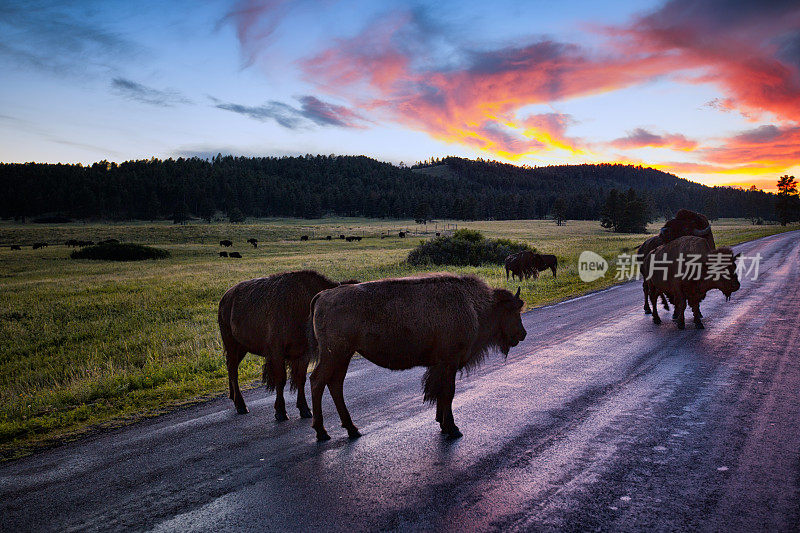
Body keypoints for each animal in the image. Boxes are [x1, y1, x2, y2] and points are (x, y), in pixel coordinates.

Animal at [217, 270, 358, 420]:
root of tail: (225, 298)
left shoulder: (303, 354)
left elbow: (300, 379)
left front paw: (305, 410)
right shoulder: (277, 352)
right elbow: (281, 379)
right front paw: (280, 412)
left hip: (241, 348)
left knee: (231, 367)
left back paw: (232, 397)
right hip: (232, 345)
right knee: (233, 370)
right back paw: (241, 406)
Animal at [310, 272, 528, 438]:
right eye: (513, 310)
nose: (522, 334)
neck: (474, 306)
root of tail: (323, 295)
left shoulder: (440, 365)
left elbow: (440, 393)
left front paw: (442, 423)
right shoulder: (449, 362)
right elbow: (448, 393)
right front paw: (453, 429)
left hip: (344, 356)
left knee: (335, 384)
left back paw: (352, 429)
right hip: (335, 354)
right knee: (317, 381)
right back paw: (322, 432)